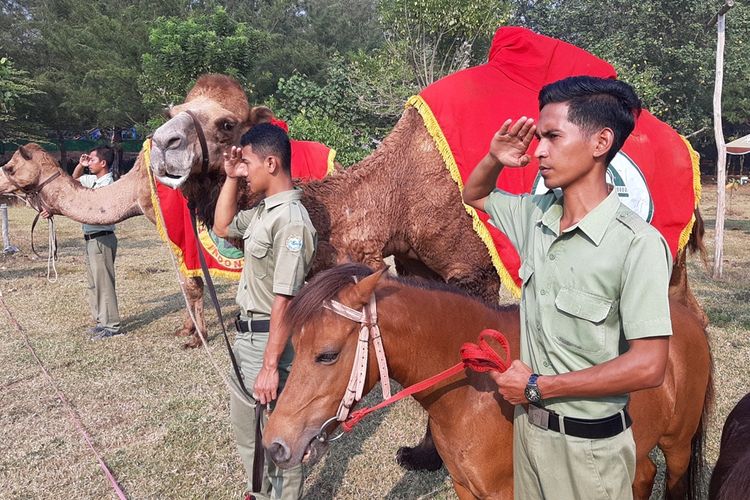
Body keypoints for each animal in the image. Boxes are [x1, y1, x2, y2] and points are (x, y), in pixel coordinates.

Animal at [268, 264, 712, 498]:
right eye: (292, 346)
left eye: (327, 354)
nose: (276, 445)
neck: (472, 395)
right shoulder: (466, 487)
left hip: (677, 447)